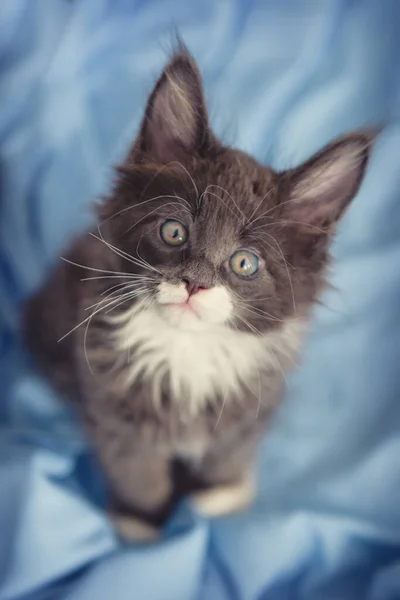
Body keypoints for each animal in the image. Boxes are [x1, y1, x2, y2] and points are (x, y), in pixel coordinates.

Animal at [23, 49, 374, 540]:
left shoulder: (252, 404)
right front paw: (141, 520)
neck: (186, 351)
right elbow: (137, 470)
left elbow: (229, 450)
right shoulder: (112, 405)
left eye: (244, 263)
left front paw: (220, 494)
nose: (195, 284)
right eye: (174, 232)